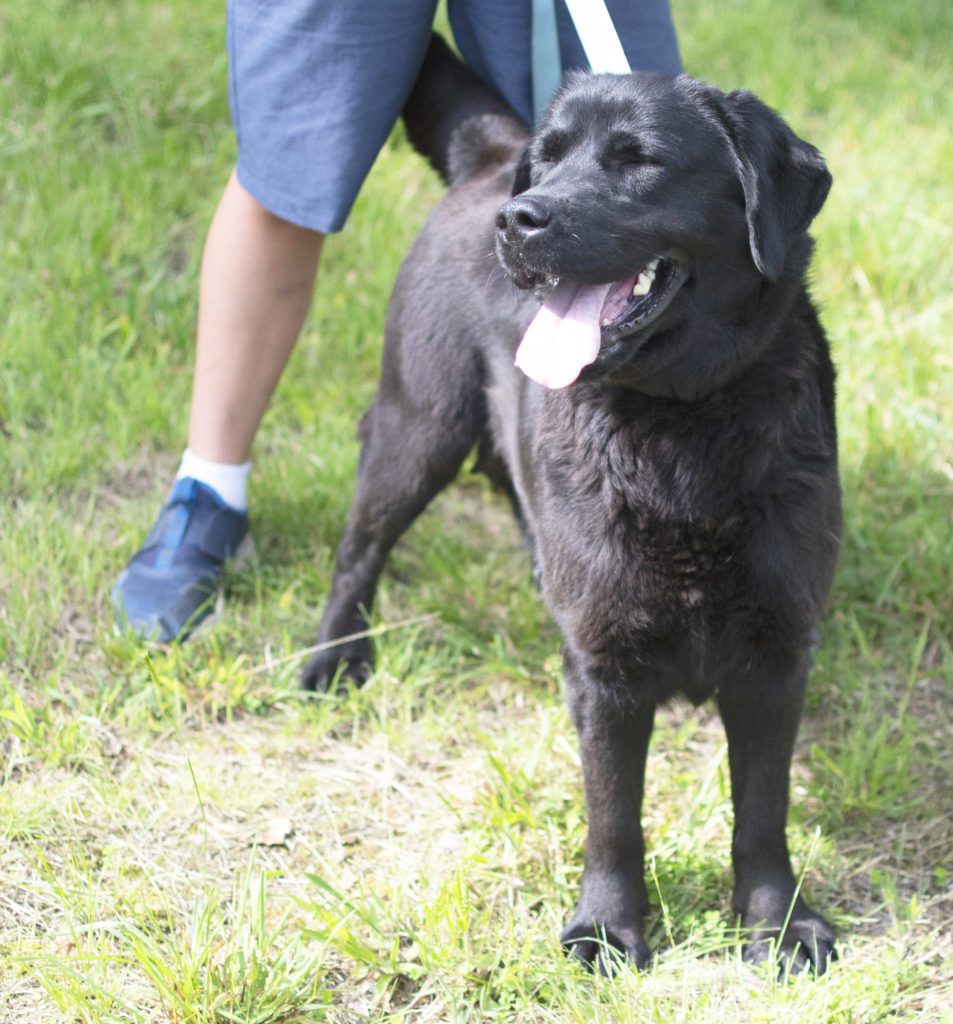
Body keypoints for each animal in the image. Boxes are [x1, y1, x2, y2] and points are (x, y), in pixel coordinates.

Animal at [300, 34, 839, 974]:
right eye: (550, 162)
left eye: (639, 162)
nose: (521, 219)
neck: (679, 425)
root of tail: (488, 161)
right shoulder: (608, 666)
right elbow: (613, 816)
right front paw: (606, 929)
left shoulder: (775, 652)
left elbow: (761, 813)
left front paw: (777, 925)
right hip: (416, 425)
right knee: (359, 547)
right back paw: (335, 661)